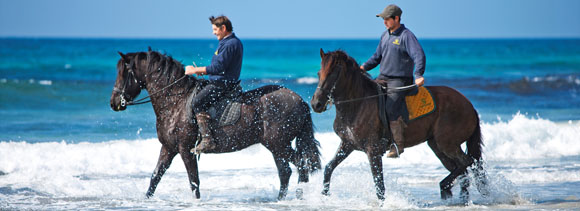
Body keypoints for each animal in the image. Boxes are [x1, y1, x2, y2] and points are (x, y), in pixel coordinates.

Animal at [109, 48, 322, 200]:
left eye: (124, 73)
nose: (113, 102)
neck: (175, 101)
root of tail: (299, 100)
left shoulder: (185, 149)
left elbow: (193, 181)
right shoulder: (168, 148)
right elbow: (155, 176)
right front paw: (146, 199)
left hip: (279, 144)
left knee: (301, 166)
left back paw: (300, 197)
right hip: (276, 146)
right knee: (286, 172)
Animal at [310, 49, 488, 201]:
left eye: (333, 74)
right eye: (319, 73)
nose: (316, 104)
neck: (358, 104)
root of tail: (469, 105)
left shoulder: (373, 151)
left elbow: (379, 186)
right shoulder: (348, 144)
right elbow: (328, 168)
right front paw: (324, 196)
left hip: (447, 144)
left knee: (466, 162)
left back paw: (445, 187)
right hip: (437, 146)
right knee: (463, 171)